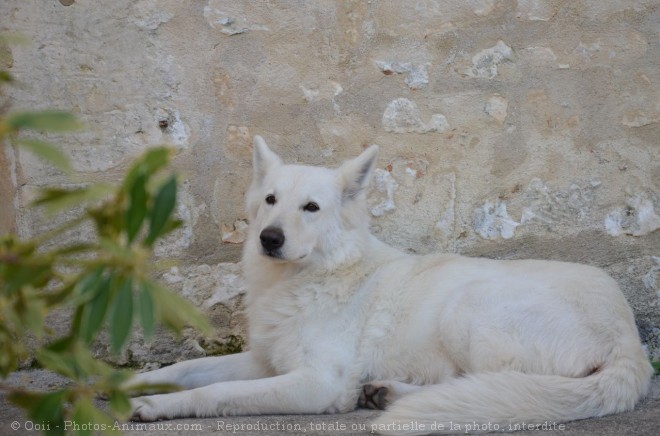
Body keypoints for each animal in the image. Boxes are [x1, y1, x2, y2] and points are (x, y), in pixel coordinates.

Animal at [131, 135, 652, 432]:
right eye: (271, 200)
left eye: (311, 207)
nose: (269, 238)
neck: (312, 276)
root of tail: (629, 343)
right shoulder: (265, 362)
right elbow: (179, 370)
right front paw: (127, 387)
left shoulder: (317, 383)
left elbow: (216, 392)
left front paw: (158, 408)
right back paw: (387, 393)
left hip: (467, 307)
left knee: (497, 384)